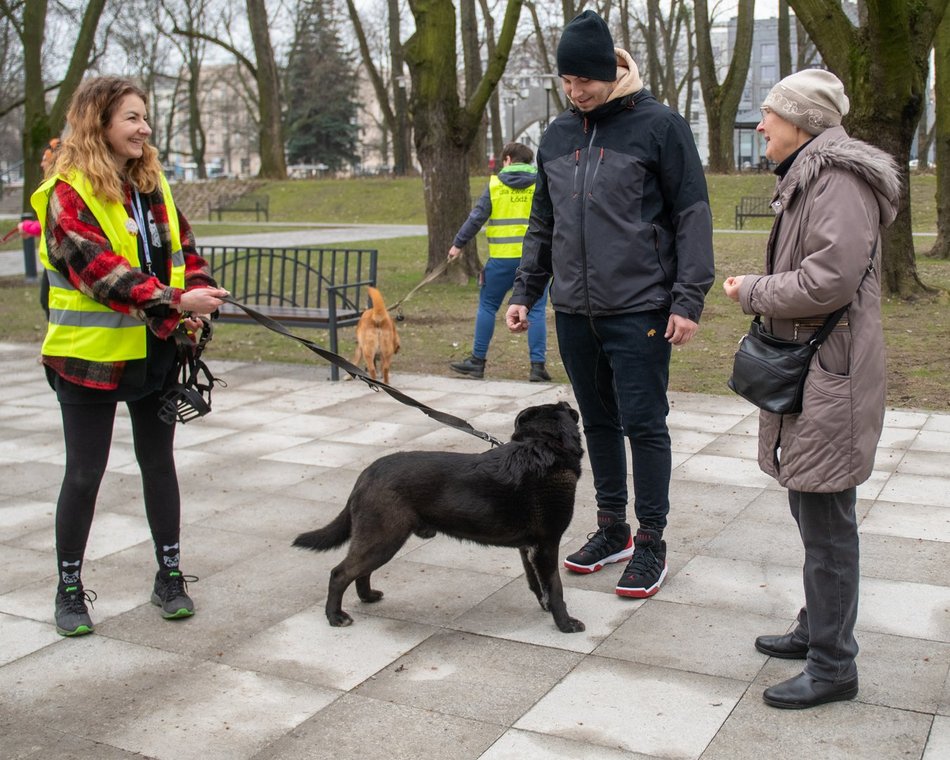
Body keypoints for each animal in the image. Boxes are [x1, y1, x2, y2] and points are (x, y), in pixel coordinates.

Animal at [292, 400, 588, 632]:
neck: (544, 446)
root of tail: (366, 474)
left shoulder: (529, 548)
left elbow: (537, 582)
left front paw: (547, 608)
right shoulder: (546, 544)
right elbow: (555, 586)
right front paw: (565, 623)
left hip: (381, 538)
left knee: (360, 572)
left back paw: (368, 597)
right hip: (383, 537)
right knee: (340, 573)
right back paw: (335, 617)